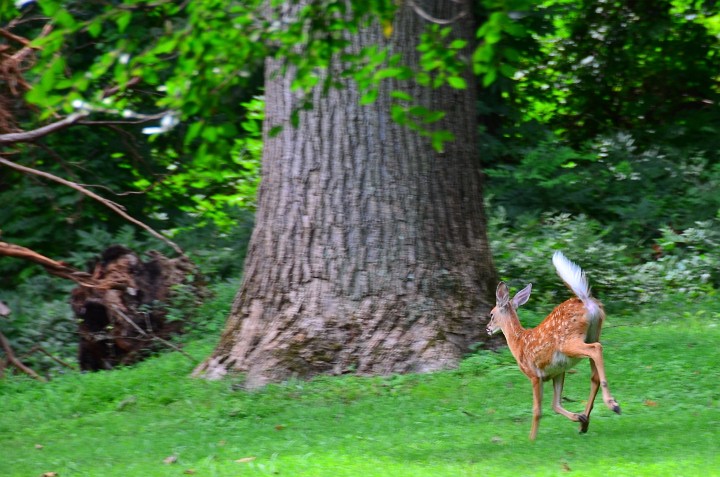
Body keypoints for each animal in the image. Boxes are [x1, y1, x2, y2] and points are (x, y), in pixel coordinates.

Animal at [486, 251, 620, 440]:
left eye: (491, 314)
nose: (488, 328)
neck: (518, 342)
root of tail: (586, 300)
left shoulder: (534, 374)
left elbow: (537, 410)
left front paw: (531, 439)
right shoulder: (558, 371)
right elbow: (555, 404)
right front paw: (578, 417)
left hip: (568, 341)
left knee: (596, 349)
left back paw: (612, 404)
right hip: (593, 332)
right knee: (594, 373)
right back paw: (585, 422)